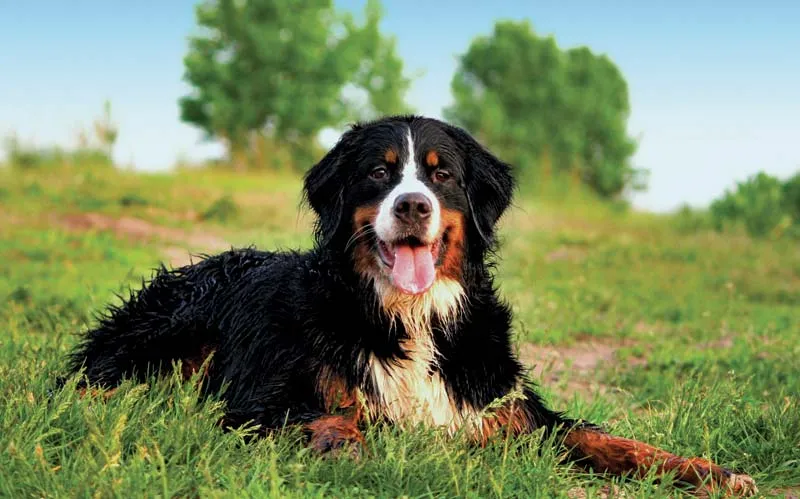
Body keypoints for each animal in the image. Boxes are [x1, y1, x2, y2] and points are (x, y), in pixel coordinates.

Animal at [62, 116, 756, 496]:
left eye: (441, 174)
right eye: (379, 171)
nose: (414, 205)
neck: (410, 316)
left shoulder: (507, 407)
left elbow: (610, 440)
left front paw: (711, 473)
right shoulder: (261, 400)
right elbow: (332, 419)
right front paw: (353, 454)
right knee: (96, 380)